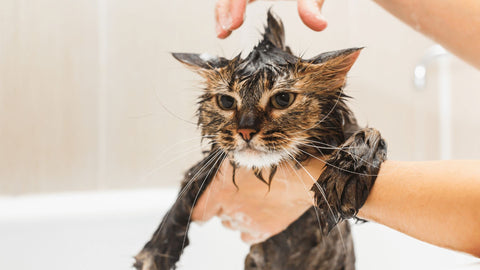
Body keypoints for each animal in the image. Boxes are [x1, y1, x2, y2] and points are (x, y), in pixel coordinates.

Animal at [134, 11, 386, 270]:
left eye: (283, 99)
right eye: (226, 101)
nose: (245, 130)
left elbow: (371, 133)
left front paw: (348, 172)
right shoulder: (210, 160)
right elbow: (183, 196)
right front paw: (156, 251)